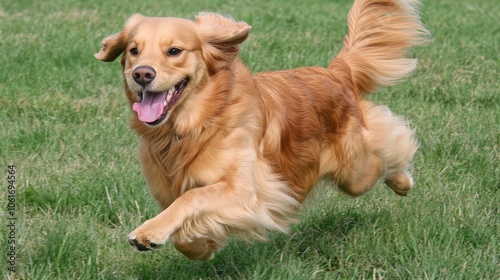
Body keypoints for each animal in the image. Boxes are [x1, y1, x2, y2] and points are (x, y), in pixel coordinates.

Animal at [94, 0, 430, 260]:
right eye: (134, 51)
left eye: (175, 51)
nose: (142, 74)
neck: (197, 125)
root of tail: (336, 72)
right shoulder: (169, 190)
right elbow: (183, 224)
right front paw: (200, 247)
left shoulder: (245, 190)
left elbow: (192, 198)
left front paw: (150, 230)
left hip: (354, 171)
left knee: (386, 147)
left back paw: (403, 181)